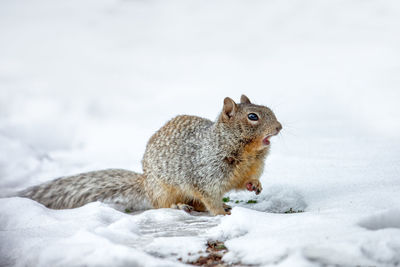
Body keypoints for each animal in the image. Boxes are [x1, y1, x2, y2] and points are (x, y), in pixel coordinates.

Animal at [18, 95, 282, 217]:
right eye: (253, 117)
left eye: (269, 110)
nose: (279, 127)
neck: (249, 154)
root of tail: (145, 182)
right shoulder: (206, 174)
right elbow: (209, 197)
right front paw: (220, 212)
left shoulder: (245, 171)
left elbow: (245, 181)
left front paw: (255, 185)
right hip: (163, 189)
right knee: (161, 205)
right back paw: (180, 205)